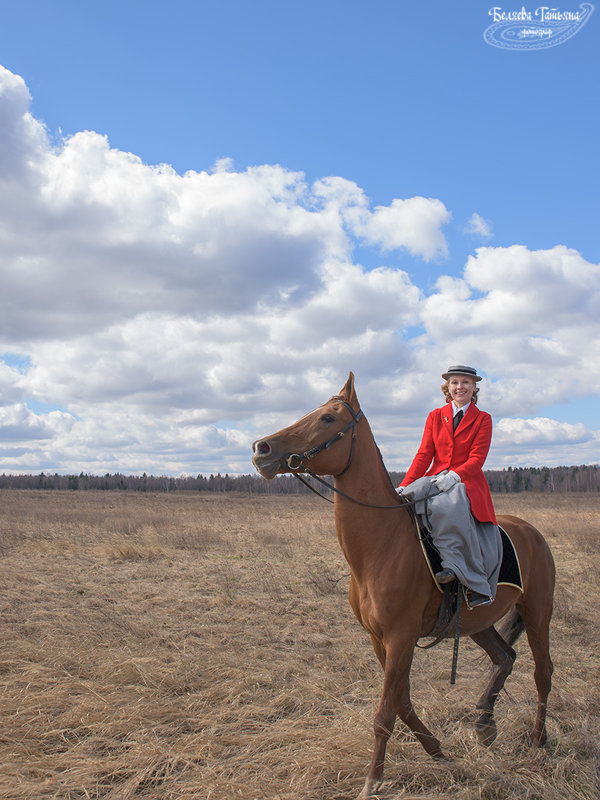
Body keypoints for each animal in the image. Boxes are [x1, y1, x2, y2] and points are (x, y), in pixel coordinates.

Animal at [251, 372, 556, 796]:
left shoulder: (400, 637)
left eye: (327, 418)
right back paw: (484, 723)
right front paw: (438, 751)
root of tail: (533, 533)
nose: (262, 449)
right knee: (505, 658)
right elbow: (401, 702)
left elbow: (385, 712)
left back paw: (539, 739)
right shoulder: (379, 639)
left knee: (542, 674)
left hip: (539, 612)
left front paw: (373, 780)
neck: (382, 544)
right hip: (476, 622)